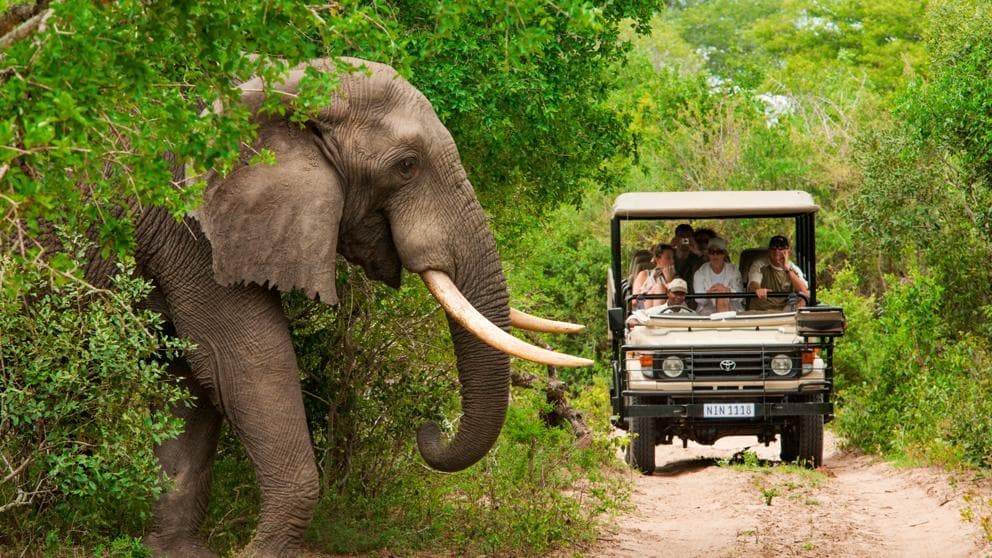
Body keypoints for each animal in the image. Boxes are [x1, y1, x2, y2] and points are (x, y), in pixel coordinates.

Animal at [107, 58, 588, 558]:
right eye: (406, 166)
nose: (429, 429)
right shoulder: (187, 223)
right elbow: (243, 360)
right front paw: (259, 553)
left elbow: (193, 377)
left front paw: (172, 551)